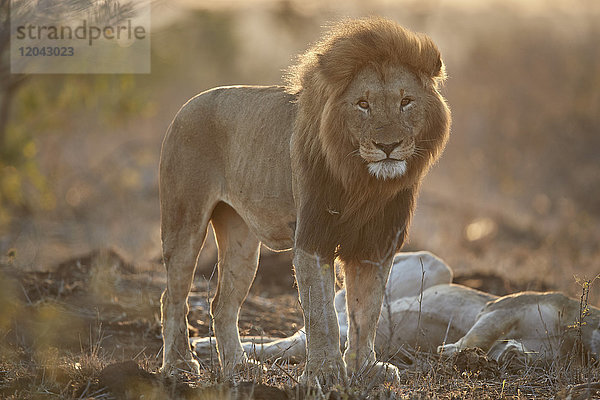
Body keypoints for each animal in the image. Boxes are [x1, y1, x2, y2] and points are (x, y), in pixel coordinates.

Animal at [159, 17, 450, 386]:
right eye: (363, 104)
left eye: (406, 101)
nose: (388, 146)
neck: (366, 183)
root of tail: (186, 106)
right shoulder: (313, 239)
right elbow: (321, 314)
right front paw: (325, 373)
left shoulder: (377, 245)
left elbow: (366, 311)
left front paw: (365, 368)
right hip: (185, 221)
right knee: (173, 296)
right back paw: (179, 365)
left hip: (241, 240)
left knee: (221, 304)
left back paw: (238, 367)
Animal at [192, 252, 600, 368]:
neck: (575, 333)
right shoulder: (502, 305)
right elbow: (480, 334)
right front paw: (454, 352)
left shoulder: (546, 351)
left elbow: (509, 349)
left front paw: (509, 355)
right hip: (436, 265)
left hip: (320, 340)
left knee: (282, 344)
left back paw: (207, 349)